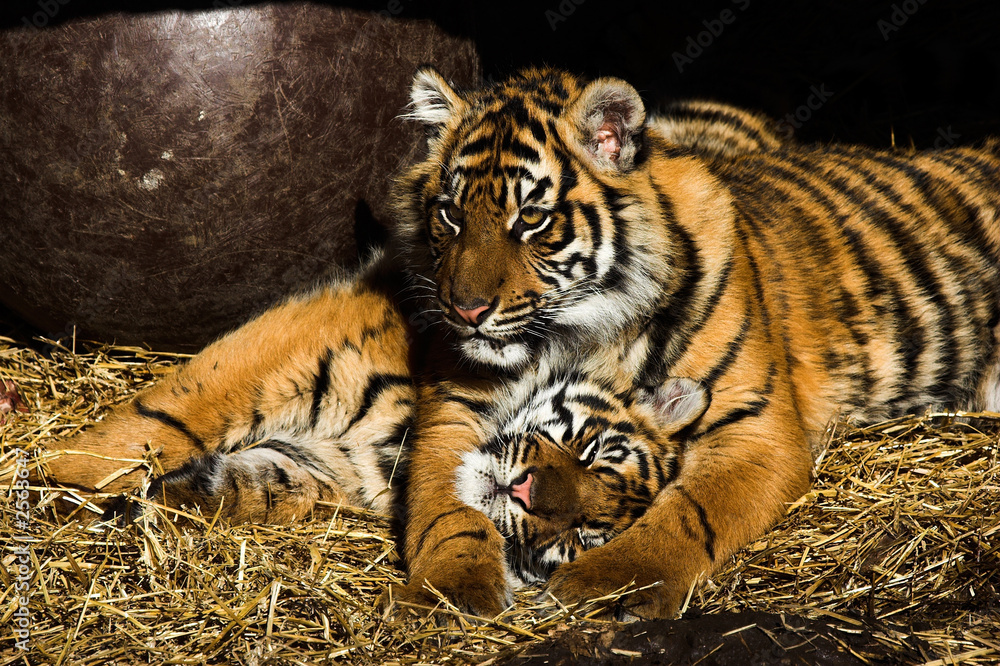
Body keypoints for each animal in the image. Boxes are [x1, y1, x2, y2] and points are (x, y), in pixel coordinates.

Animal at [389, 66, 1000, 620]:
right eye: (451, 214)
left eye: (532, 218)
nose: (466, 311)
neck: (568, 339)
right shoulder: (448, 413)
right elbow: (446, 513)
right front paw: (452, 589)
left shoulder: (755, 425)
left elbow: (687, 514)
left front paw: (607, 585)